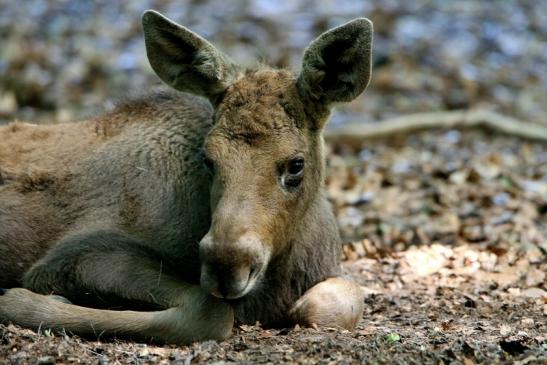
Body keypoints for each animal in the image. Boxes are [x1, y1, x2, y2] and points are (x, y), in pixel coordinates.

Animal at [0, 9, 372, 342]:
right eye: (209, 160)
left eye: (296, 164)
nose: (226, 266)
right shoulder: (73, 255)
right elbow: (210, 313)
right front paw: (17, 301)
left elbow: (339, 301)